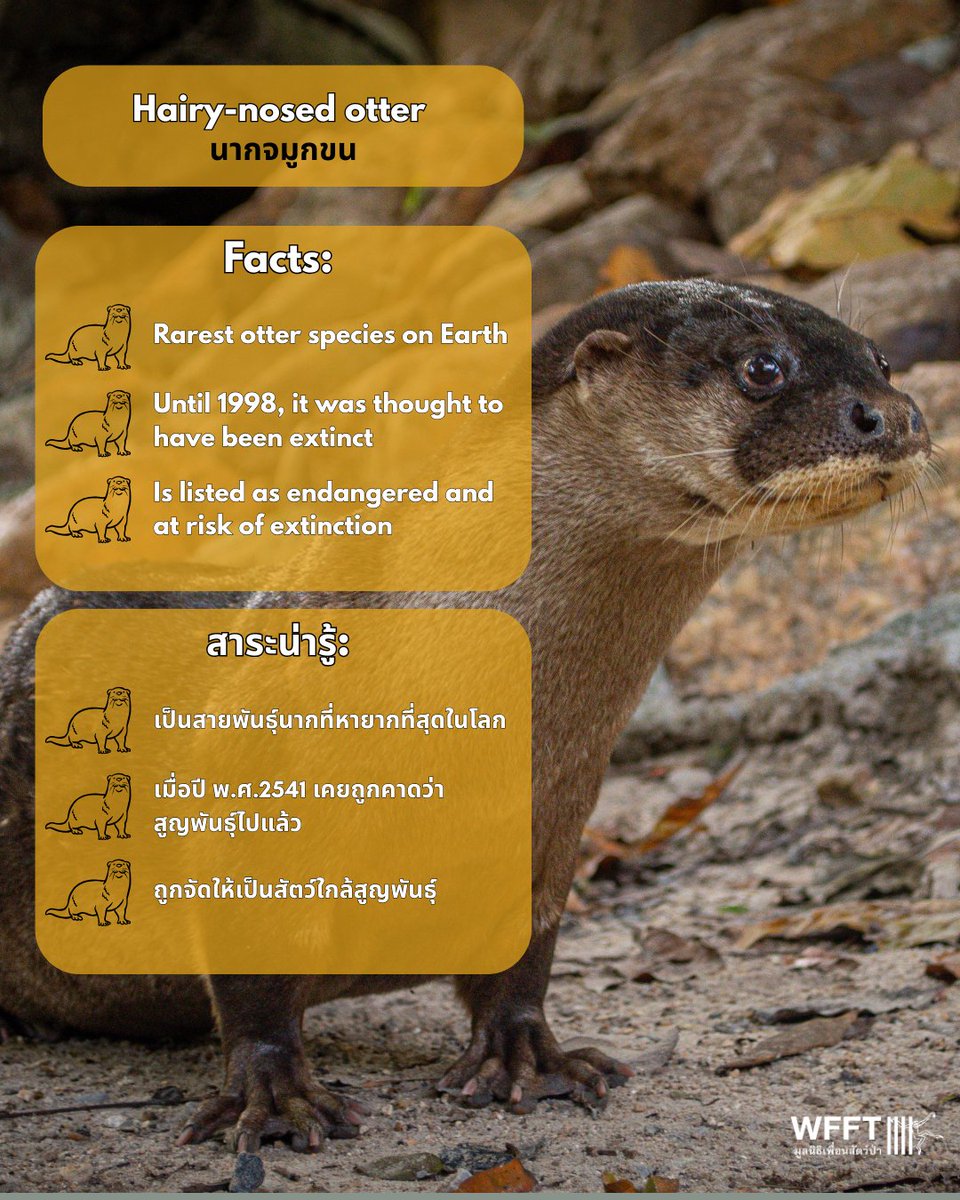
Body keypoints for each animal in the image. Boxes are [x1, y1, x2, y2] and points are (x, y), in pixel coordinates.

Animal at [0, 283, 931, 1149]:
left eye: (881, 360)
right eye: (762, 367)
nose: (893, 413)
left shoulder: (552, 824)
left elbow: (523, 962)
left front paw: (531, 1057)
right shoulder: (244, 781)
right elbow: (252, 976)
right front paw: (279, 1097)